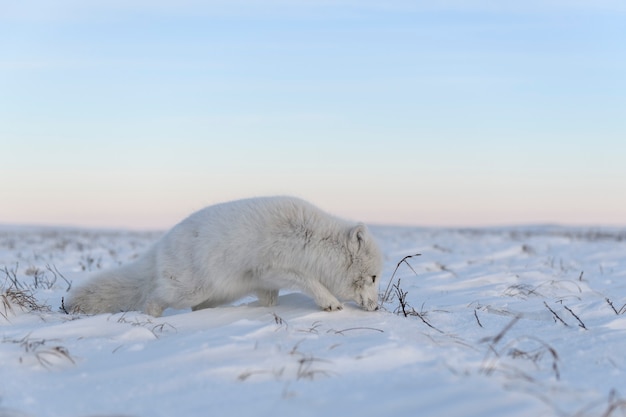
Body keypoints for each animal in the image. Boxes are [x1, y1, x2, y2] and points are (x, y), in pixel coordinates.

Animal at [66, 195, 382, 316]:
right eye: (374, 277)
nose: (378, 308)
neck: (313, 240)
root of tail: (160, 243)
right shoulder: (273, 267)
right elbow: (309, 281)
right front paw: (329, 302)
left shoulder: (265, 281)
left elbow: (270, 301)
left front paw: (262, 311)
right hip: (192, 289)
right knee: (153, 299)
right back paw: (152, 320)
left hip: (217, 293)